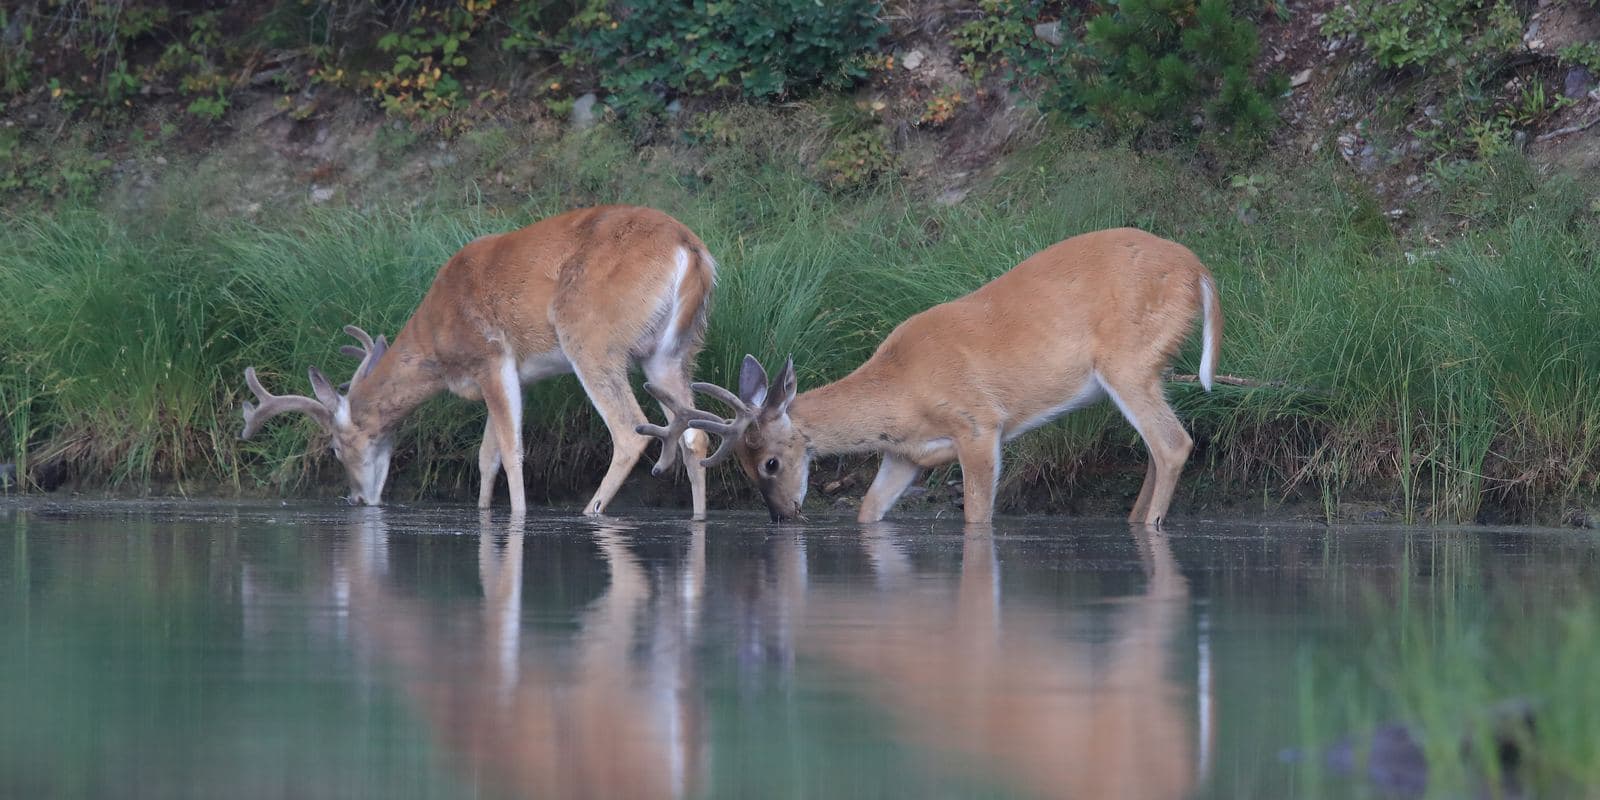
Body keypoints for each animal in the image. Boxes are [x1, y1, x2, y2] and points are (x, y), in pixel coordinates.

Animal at [240, 205, 716, 519]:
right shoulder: (517, 376)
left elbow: (509, 449)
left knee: (629, 429)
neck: (435, 337)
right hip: (671, 352)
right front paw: (484, 511)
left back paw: (590, 511)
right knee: (694, 433)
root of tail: (690, 251)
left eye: (336, 449)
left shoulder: (490, 357)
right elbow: (487, 454)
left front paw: (517, 517)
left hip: (592, 338)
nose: (357, 498)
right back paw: (698, 518)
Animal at [640, 227, 1222, 527]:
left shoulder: (979, 423)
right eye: (740, 465)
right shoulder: (904, 455)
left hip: (1129, 362)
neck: (902, 390)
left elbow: (976, 516)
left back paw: (1151, 525)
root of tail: (1201, 271)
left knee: (1173, 443)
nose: (783, 515)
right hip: (1150, 366)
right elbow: (868, 511)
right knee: (1157, 448)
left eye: (770, 463)